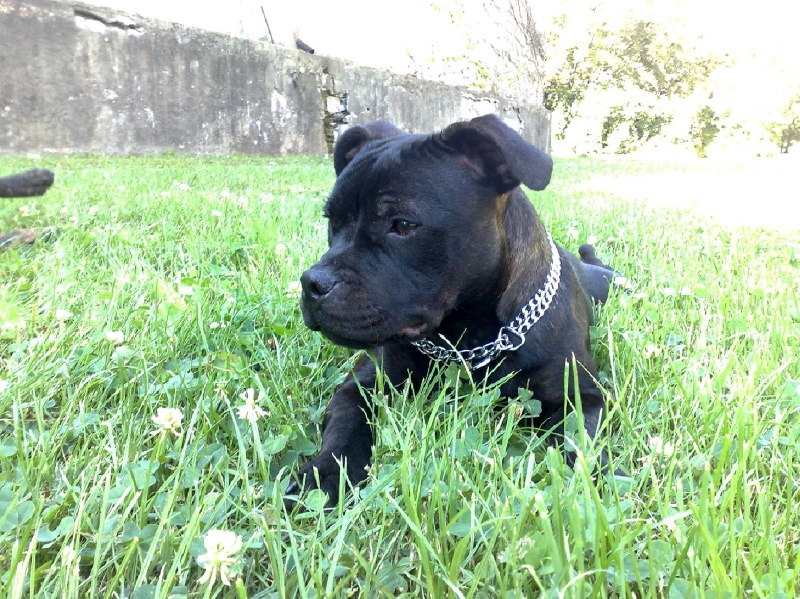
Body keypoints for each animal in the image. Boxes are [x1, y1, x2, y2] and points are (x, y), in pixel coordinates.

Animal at [286, 114, 619, 506]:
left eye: (403, 225)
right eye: (331, 221)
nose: (312, 283)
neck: (468, 337)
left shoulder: (581, 397)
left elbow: (580, 441)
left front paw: (594, 486)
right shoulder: (365, 383)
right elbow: (346, 421)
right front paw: (324, 474)